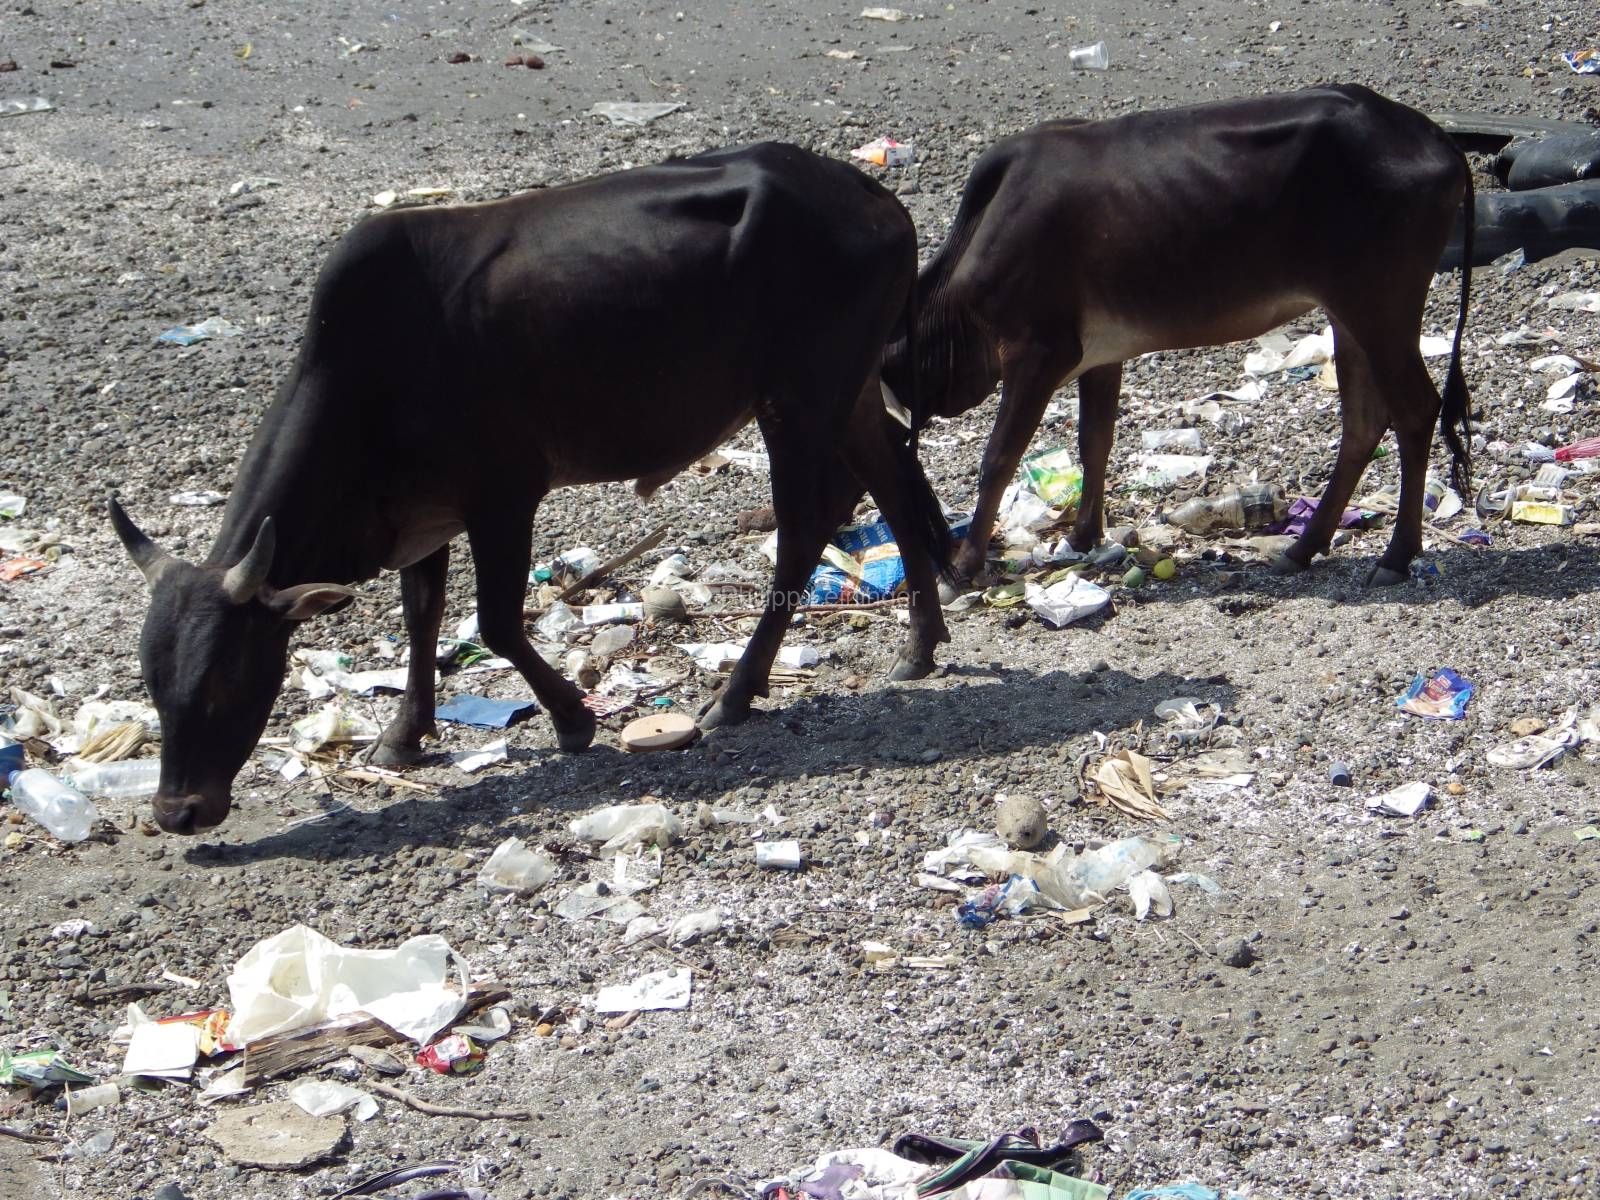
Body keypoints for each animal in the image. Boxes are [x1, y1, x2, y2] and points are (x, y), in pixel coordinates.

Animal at [111, 142, 952, 835]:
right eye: (152, 683)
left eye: (225, 681)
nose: (178, 812)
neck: (365, 375)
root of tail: (871, 195)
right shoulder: (424, 516)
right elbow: (423, 618)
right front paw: (403, 736)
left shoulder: (504, 499)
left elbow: (495, 623)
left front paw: (573, 720)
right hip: (845, 394)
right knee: (897, 488)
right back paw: (920, 645)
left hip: (796, 401)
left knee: (806, 526)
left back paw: (737, 695)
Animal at [881, 84, 1475, 597]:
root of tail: (1433, 135)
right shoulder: (1098, 356)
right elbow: (1094, 442)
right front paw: (1081, 536)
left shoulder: (1038, 353)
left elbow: (998, 459)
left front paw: (962, 569)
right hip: (1349, 316)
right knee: (1363, 426)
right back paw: (1302, 549)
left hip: (1381, 307)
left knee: (1416, 411)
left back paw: (1396, 556)